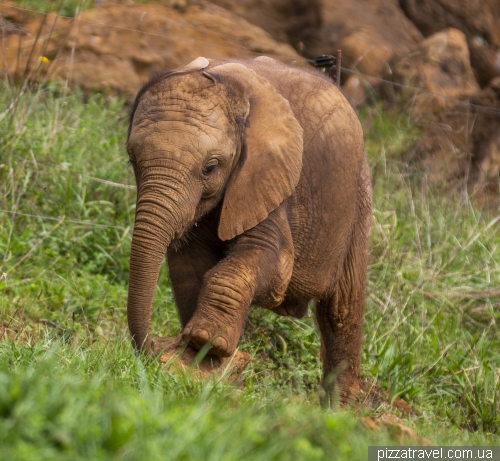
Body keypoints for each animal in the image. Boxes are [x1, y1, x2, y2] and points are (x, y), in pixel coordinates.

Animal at [127, 55, 372, 400]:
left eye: (210, 167)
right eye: (132, 159)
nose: (150, 349)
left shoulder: (268, 174)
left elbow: (273, 263)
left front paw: (207, 340)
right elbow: (190, 265)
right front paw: (208, 357)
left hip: (357, 198)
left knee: (342, 312)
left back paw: (340, 410)